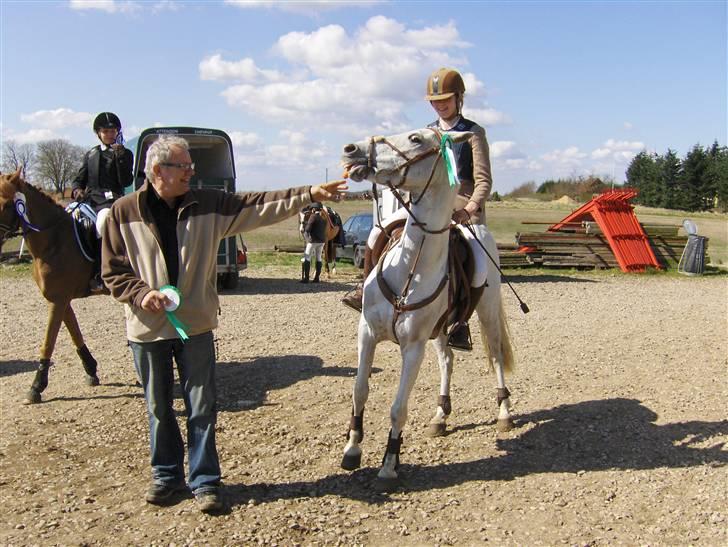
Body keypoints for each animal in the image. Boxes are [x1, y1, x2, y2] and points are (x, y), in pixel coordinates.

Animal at [0, 169, 101, 404]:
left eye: (7, 205)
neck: (54, 241)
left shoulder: (58, 300)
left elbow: (48, 341)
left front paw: (36, 385)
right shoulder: (60, 300)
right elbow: (74, 332)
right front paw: (90, 369)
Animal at [338, 130, 516, 488]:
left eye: (416, 138)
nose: (352, 149)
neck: (410, 269)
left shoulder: (413, 347)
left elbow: (398, 408)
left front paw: (389, 464)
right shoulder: (366, 333)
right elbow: (359, 391)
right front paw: (352, 449)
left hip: (487, 312)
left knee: (495, 355)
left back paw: (504, 412)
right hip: (443, 329)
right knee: (447, 360)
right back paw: (440, 416)